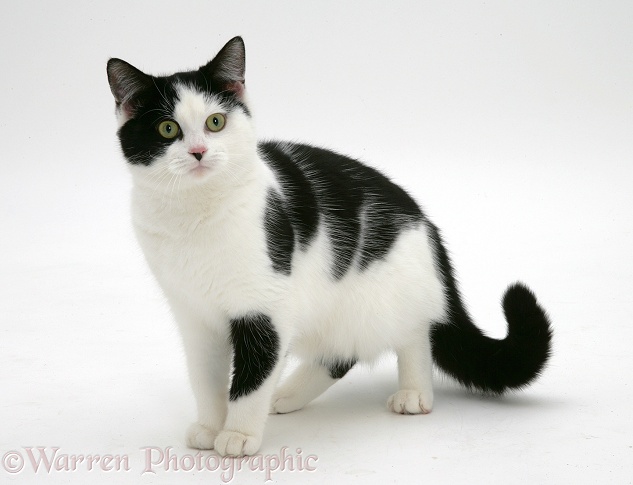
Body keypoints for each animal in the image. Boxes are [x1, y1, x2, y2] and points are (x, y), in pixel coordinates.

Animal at [106, 36, 552, 454]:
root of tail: (426, 223)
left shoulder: (265, 309)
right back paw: (286, 395)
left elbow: (251, 378)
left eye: (216, 122)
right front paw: (211, 426)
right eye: (167, 129)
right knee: (340, 354)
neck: (195, 214)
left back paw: (413, 393)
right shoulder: (195, 316)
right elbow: (204, 376)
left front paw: (237, 434)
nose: (199, 152)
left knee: (414, 333)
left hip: (387, 292)